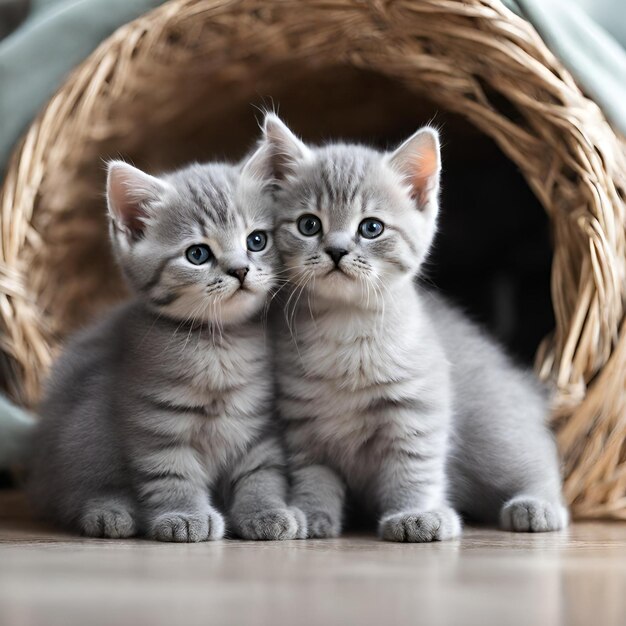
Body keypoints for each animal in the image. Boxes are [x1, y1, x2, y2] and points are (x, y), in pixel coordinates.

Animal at [28, 154, 306, 540]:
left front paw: (267, 511)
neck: (219, 345)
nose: (240, 270)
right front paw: (185, 516)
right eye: (197, 254)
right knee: (75, 492)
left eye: (256, 240)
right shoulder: (155, 421)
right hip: (84, 428)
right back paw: (109, 511)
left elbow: (262, 472)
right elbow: (171, 474)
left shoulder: (257, 424)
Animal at [251, 113, 568, 540]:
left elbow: (413, 467)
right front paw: (310, 514)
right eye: (308, 225)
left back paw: (538, 506)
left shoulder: (415, 410)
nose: (336, 250)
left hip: (496, 435)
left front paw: (416, 515)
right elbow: (313, 476)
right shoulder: (303, 426)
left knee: (541, 463)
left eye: (371, 228)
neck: (345, 328)